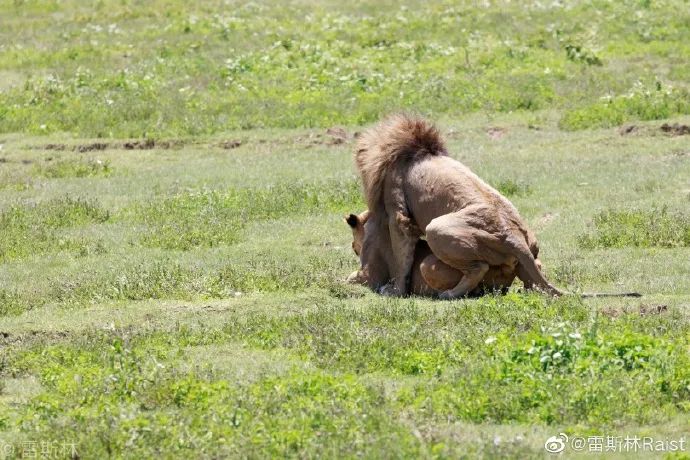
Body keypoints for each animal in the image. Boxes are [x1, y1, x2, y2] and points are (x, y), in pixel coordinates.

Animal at [353, 114, 641, 299]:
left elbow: (402, 255)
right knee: (534, 273)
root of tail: (515, 238)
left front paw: (395, 291)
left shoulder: (397, 208)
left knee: (478, 267)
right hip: (530, 249)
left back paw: (449, 294)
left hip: (437, 228)